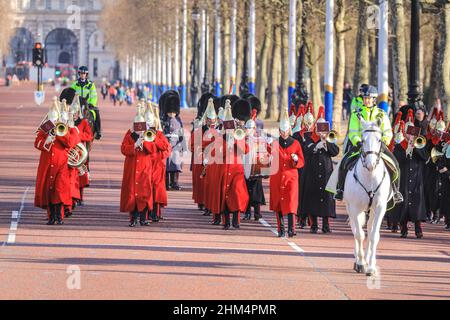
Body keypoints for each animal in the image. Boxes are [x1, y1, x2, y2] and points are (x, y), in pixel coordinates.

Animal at [346, 119, 392, 276]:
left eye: (379, 139)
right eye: (362, 141)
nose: (371, 164)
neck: (370, 176)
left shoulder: (380, 208)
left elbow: (373, 236)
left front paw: (370, 267)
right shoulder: (354, 208)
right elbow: (359, 235)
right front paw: (360, 264)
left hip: (371, 211)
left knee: (371, 229)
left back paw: (367, 259)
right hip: (351, 209)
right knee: (356, 231)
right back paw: (358, 260)